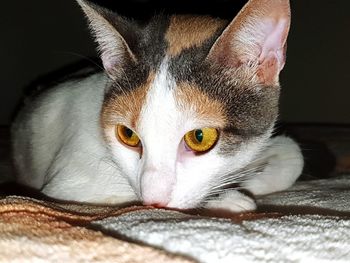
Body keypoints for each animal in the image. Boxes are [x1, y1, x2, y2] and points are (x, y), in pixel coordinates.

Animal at [10, 0, 302, 212]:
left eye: (200, 137)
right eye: (127, 135)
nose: (154, 201)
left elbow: (293, 152)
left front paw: (251, 182)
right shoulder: (68, 183)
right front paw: (230, 198)